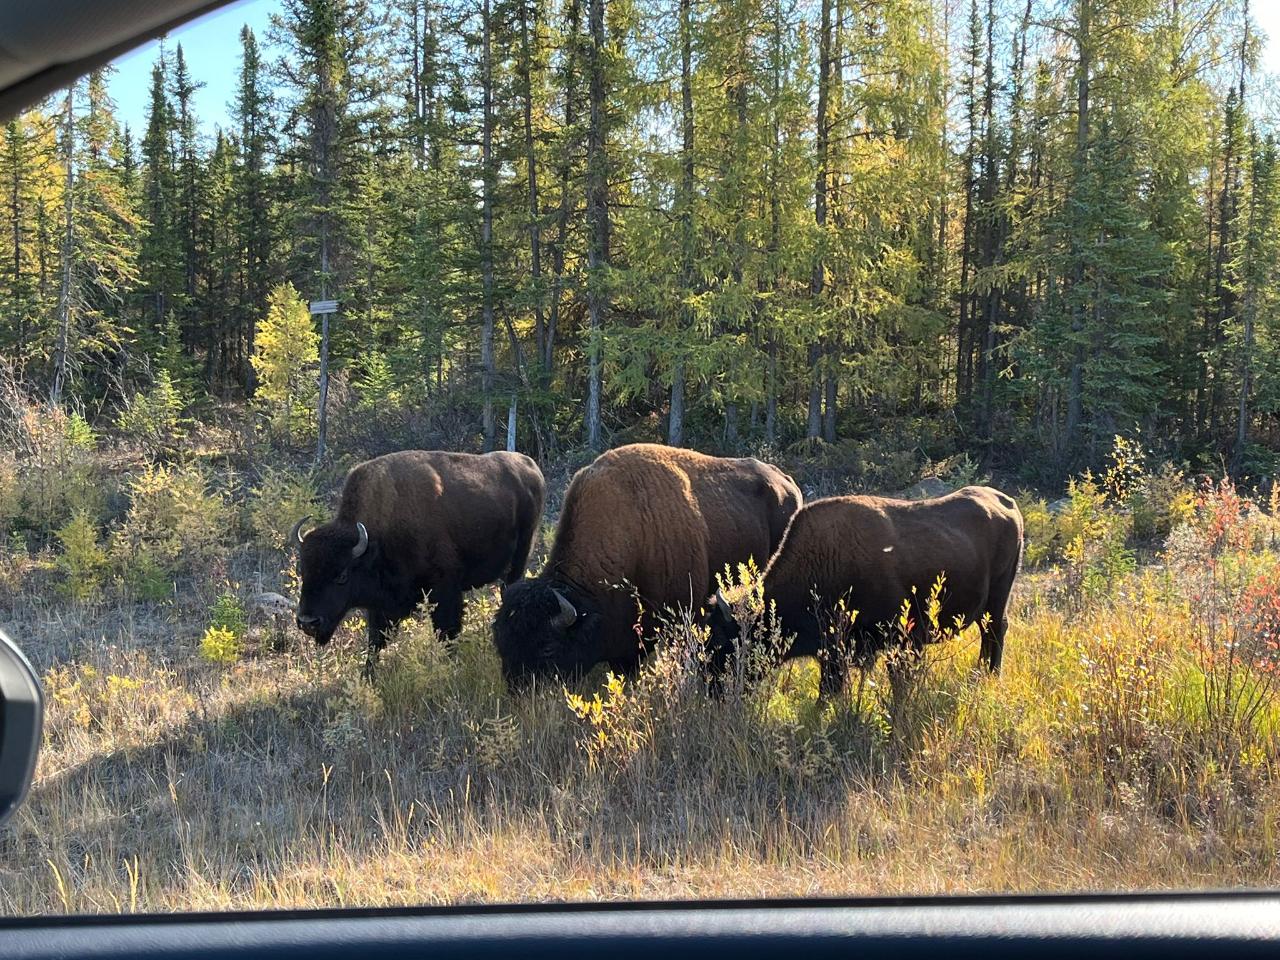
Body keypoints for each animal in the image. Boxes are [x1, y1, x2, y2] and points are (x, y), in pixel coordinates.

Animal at [293, 449, 546, 671]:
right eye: (303, 571)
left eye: (342, 576)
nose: (307, 622)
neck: (377, 539)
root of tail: (531, 467)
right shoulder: (382, 606)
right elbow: (376, 642)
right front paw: (368, 677)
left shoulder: (445, 591)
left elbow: (447, 633)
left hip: (520, 558)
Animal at [705, 485, 1023, 696]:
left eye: (722, 640)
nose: (709, 688)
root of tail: (1007, 503)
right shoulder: (833, 649)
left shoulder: (899, 639)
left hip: (998, 599)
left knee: (996, 630)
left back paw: (990, 675)